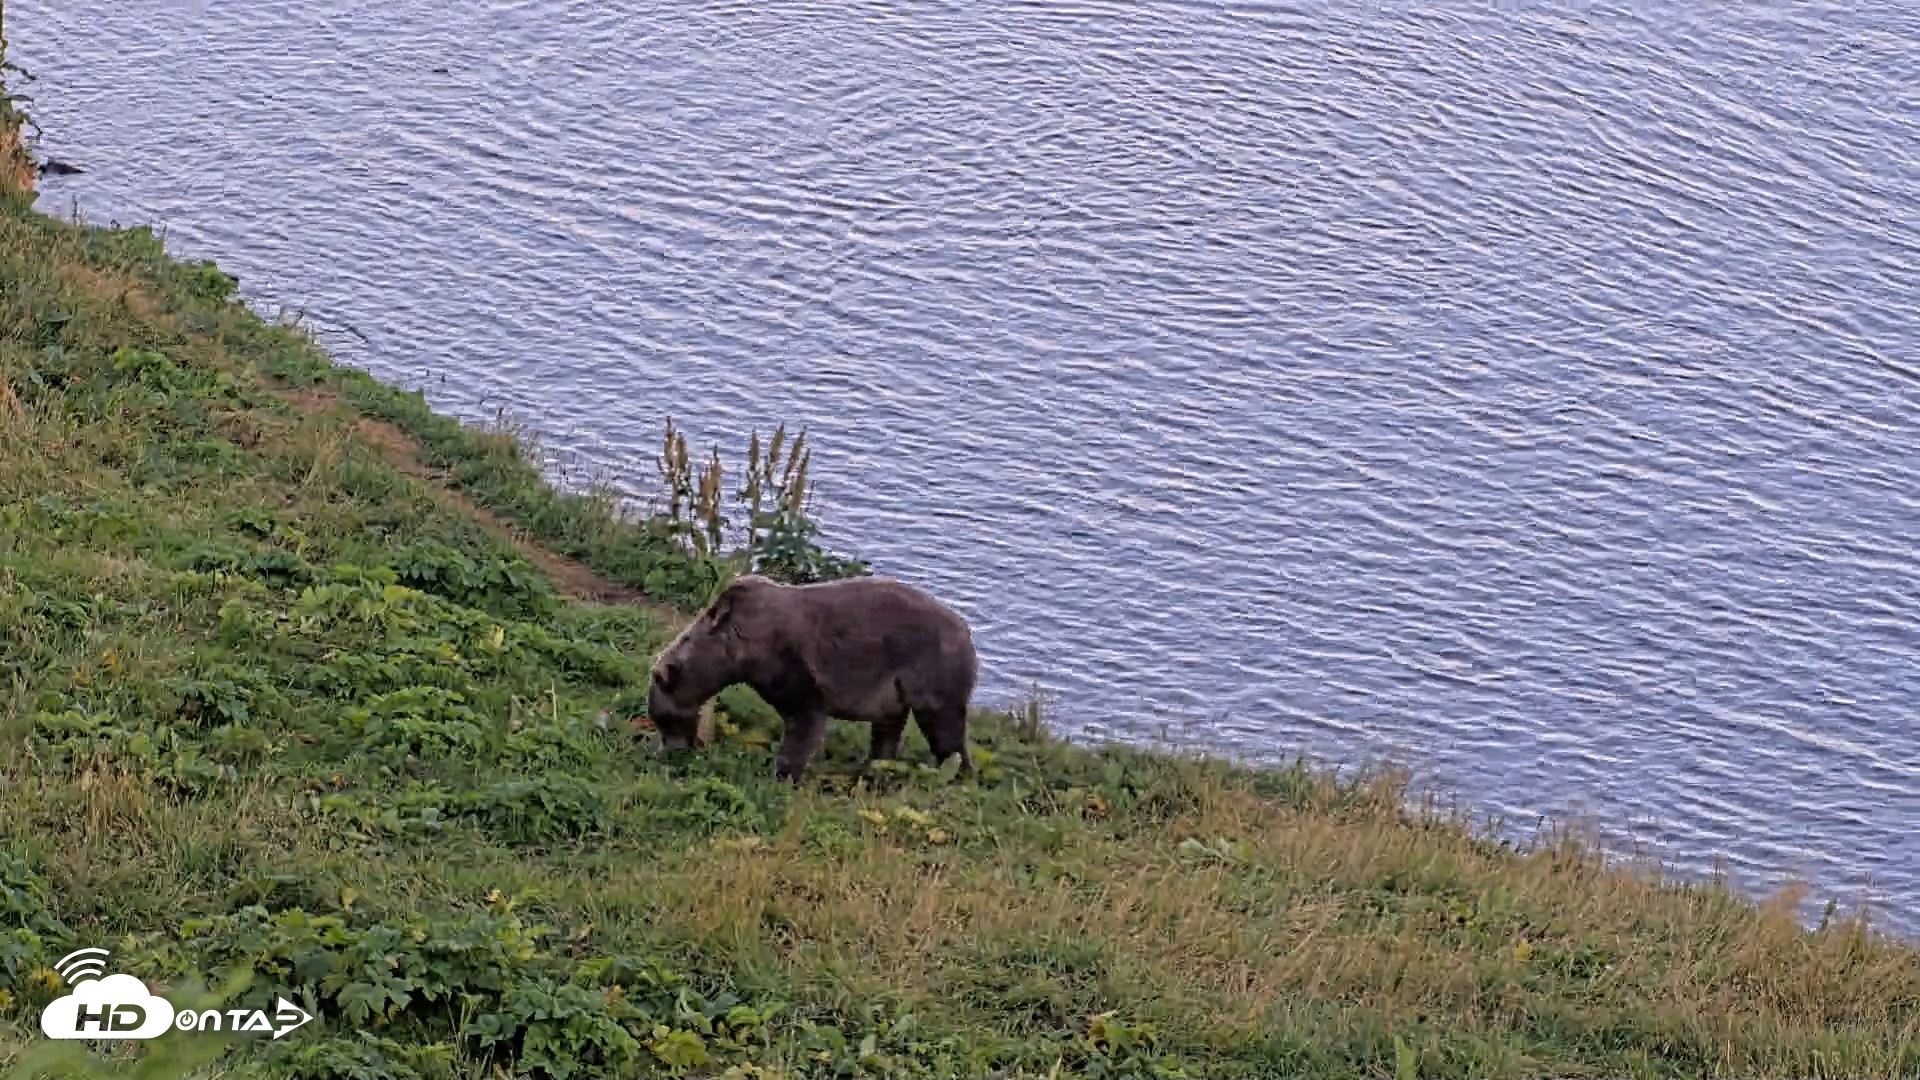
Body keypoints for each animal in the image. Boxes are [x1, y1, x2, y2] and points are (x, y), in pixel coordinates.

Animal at [646, 573, 979, 783]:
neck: (733, 652)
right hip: (893, 688)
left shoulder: (785, 661)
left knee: (944, 728)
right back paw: (873, 769)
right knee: (888, 729)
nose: (668, 751)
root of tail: (966, 629)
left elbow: (804, 718)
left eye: (663, 720)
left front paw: (782, 774)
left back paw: (957, 773)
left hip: (930, 667)